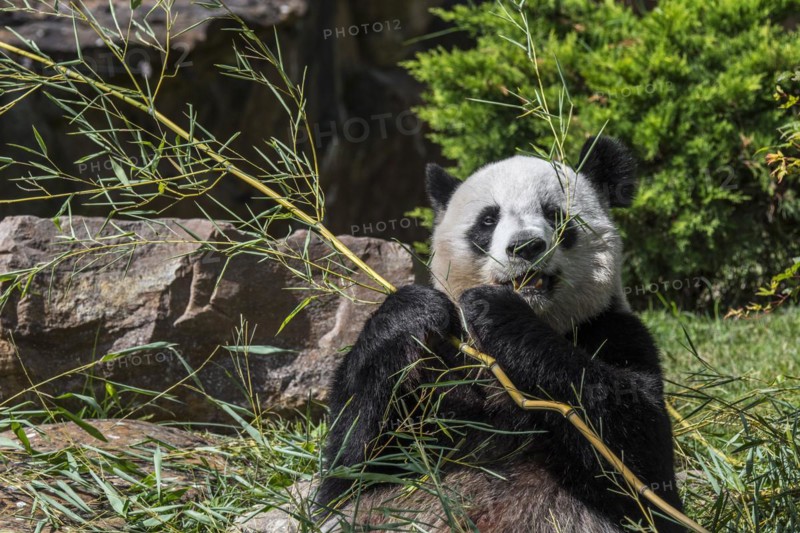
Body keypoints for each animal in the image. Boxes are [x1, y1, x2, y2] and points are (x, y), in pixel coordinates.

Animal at [314, 136, 684, 532]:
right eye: (488, 220)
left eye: (554, 215)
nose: (525, 246)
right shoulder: (442, 366)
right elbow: (353, 470)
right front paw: (414, 308)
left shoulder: (612, 330)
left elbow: (642, 460)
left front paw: (495, 310)